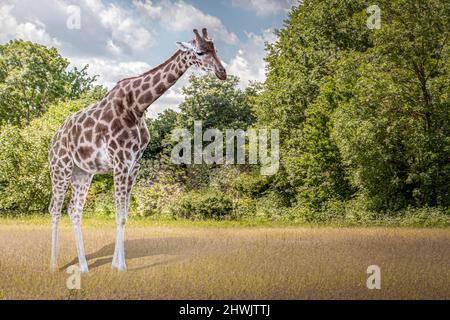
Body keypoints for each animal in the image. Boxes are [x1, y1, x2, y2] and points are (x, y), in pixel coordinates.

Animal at [48, 28, 229, 272]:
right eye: (200, 52)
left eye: (215, 49)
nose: (222, 72)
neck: (138, 105)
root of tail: (53, 139)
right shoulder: (120, 162)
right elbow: (118, 216)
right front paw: (122, 266)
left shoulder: (134, 165)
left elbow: (124, 216)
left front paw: (115, 264)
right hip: (61, 168)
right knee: (55, 209)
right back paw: (53, 265)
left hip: (82, 173)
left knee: (74, 210)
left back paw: (84, 267)